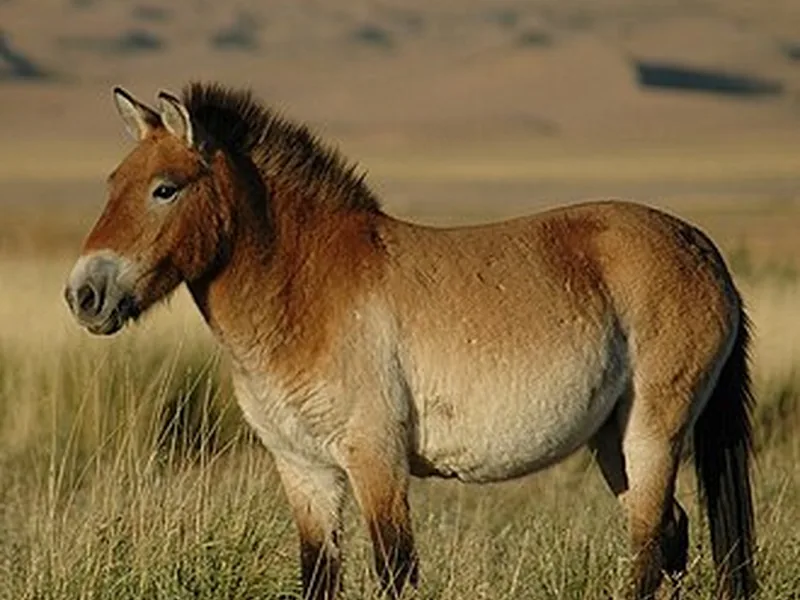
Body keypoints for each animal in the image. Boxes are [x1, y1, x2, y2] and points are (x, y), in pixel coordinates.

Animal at [64, 82, 756, 600]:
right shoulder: (304, 469)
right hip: (612, 440)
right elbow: (318, 577)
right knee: (669, 535)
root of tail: (702, 249)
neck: (305, 289)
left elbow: (395, 571)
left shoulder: (376, 459)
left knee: (649, 547)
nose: (84, 295)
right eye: (111, 184)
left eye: (165, 188)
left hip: (652, 432)